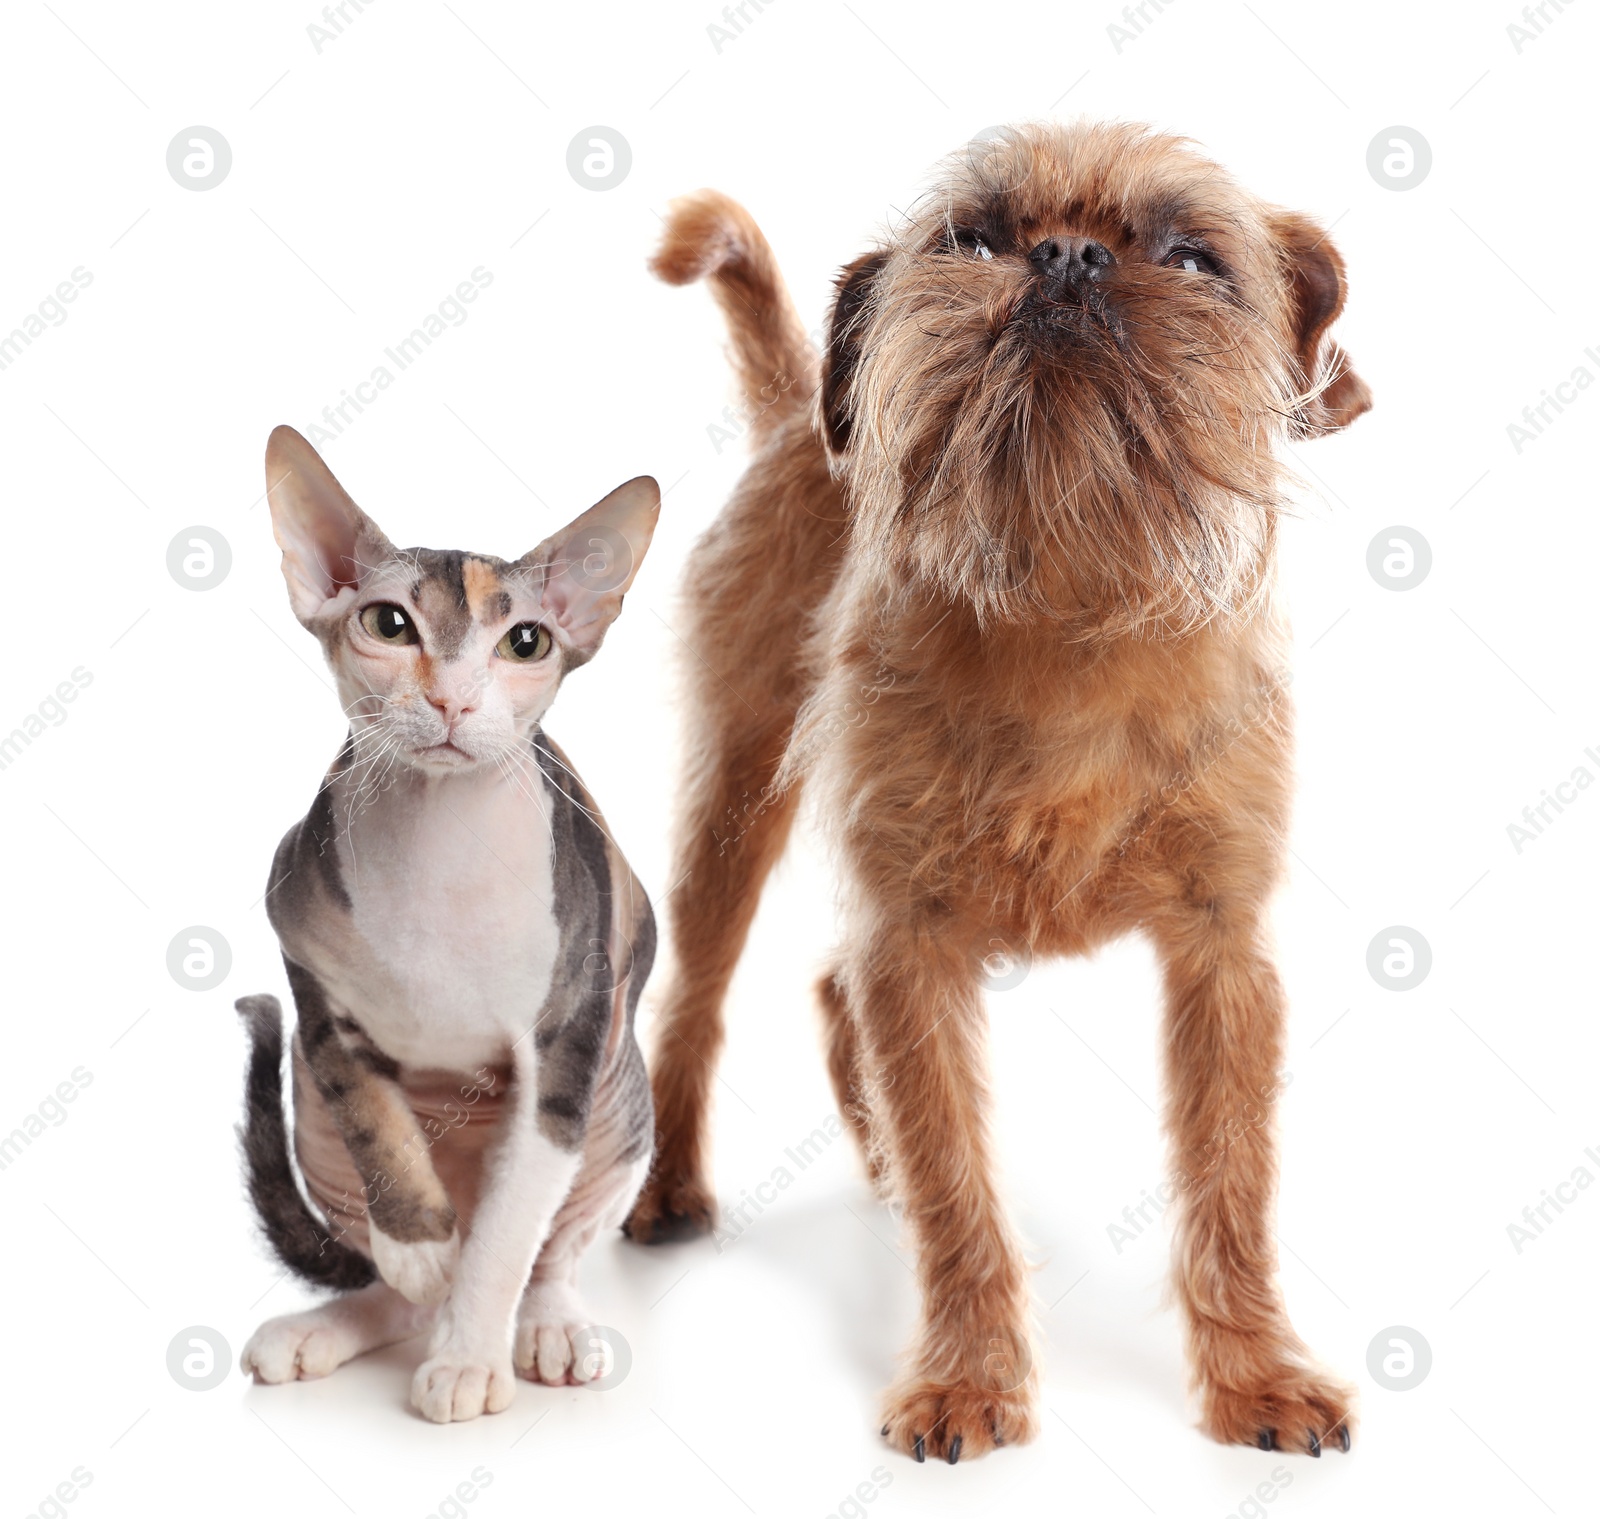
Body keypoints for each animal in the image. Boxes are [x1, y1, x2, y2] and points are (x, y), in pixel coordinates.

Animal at [624, 124, 1363, 1466]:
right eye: (969, 240)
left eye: (1194, 258)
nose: (1065, 255)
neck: (1069, 596)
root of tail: (793, 413)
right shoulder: (913, 940)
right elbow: (956, 1184)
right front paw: (966, 1380)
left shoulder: (1222, 954)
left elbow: (1232, 1180)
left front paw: (1257, 1373)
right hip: (734, 795)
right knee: (696, 998)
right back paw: (670, 1190)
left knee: (830, 983)